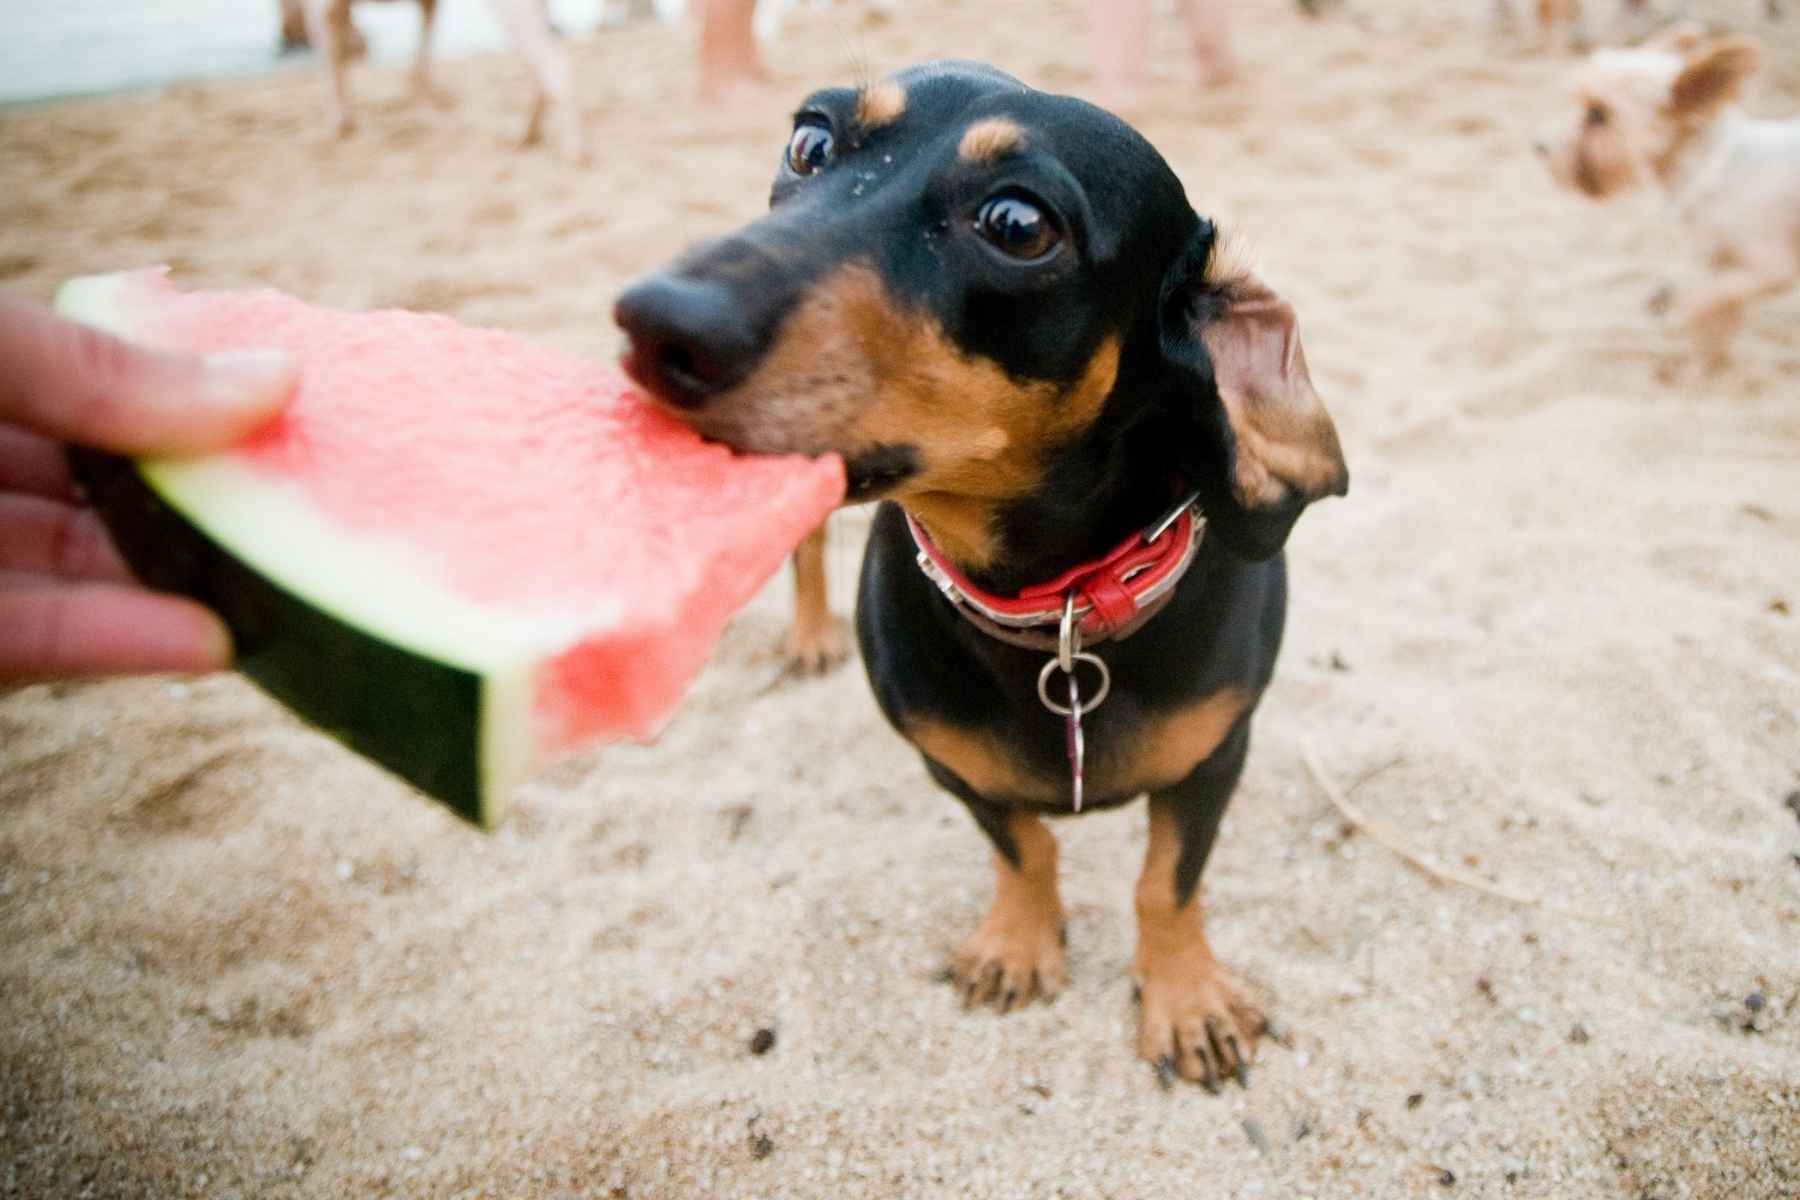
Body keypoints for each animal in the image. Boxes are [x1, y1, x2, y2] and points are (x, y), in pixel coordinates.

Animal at [612, 61, 1346, 1086]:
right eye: (810, 143)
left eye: (1017, 224)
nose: (650, 322)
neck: (1060, 617)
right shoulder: (948, 763)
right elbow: (1024, 848)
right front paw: (1018, 944)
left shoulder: (1216, 757)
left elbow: (1166, 883)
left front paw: (1186, 998)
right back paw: (809, 634)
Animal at [1533, 23, 1800, 370]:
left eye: (1599, 114)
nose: (1541, 146)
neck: (1709, 168)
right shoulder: (1720, 265)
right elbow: (1719, 317)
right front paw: (1707, 368)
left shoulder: (1770, 268)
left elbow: (1702, 300)